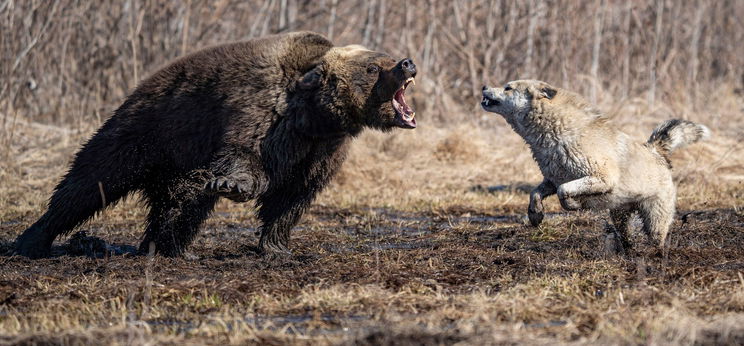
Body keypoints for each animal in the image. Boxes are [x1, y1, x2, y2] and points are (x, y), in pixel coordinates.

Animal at [14, 31, 418, 256]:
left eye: (384, 57)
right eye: (373, 68)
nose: (407, 63)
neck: (315, 116)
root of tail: (140, 87)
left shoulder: (322, 149)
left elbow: (293, 196)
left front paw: (278, 247)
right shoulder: (260, 112)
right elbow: (244, 157)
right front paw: (234, 185)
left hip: (178, 158)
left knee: (182, 202)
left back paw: (166, 247)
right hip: (146, 131)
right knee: (90, 181)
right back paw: (33, 240)